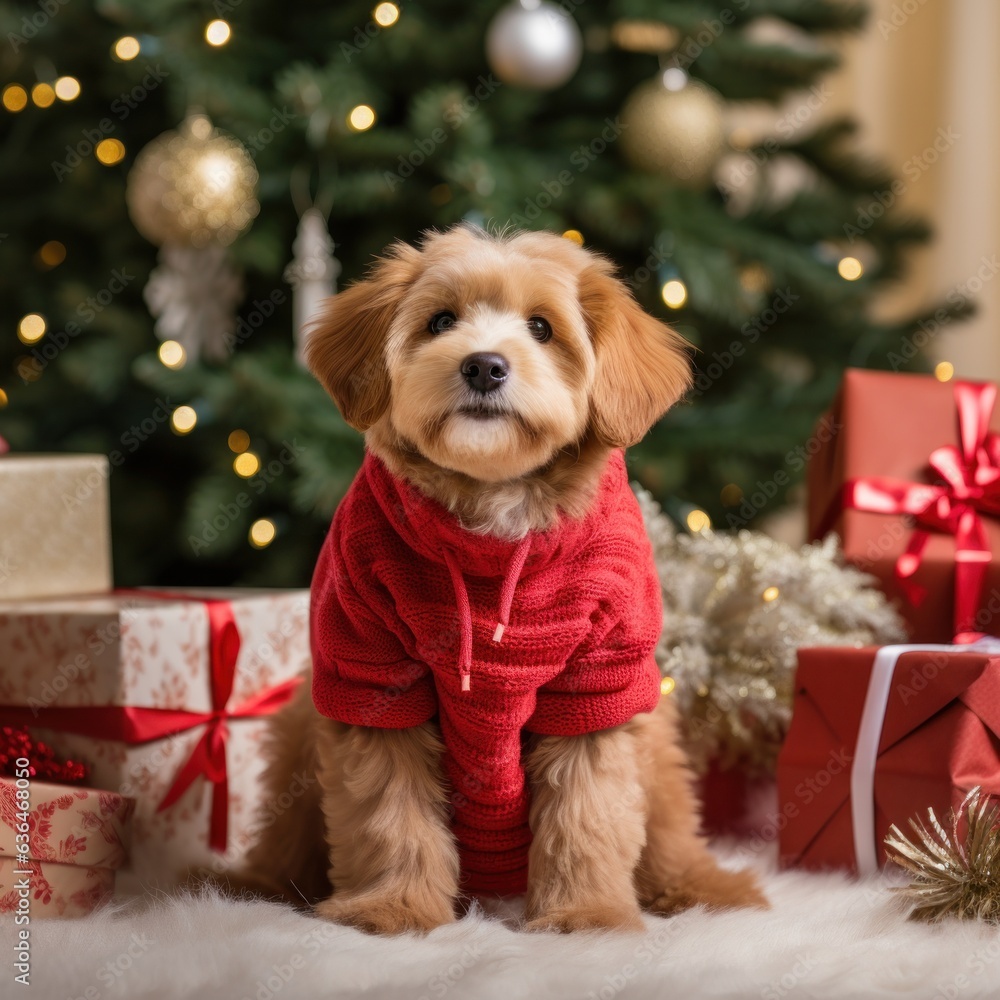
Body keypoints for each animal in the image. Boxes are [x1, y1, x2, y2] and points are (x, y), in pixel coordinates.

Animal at [236, 225, 764, 928]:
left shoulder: (594, 686)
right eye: (440, 321)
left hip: (653, 736)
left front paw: (587, 916)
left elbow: (588, 817)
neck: (491, 522)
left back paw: (703, 888)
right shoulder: (372, 677)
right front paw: (391, 907)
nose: (484, 365)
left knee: (673, 834)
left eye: (541, 327)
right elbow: (389, 817)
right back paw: (253, 886)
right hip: (301, 723)